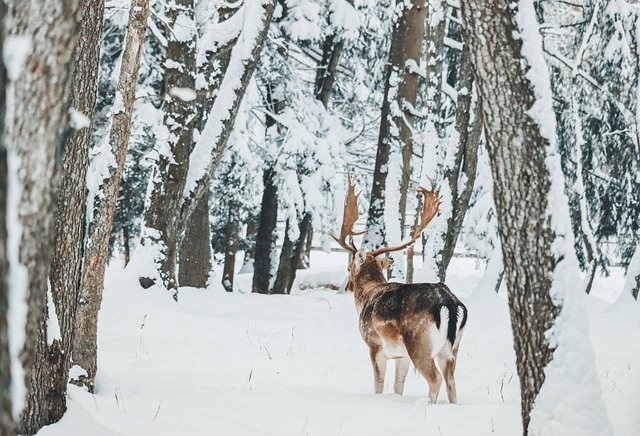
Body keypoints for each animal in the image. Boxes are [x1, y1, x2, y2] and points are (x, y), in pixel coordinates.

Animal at [332, 174, 468, 406]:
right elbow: (398, 387)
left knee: (435, 379)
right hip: (453, 348)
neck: (366, 296)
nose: (347, 287)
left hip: (419, 343)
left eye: (348, 267)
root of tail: (450, 303)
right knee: (452, 383)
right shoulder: (401, 356)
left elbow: (378, 385)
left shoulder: (375, 344)